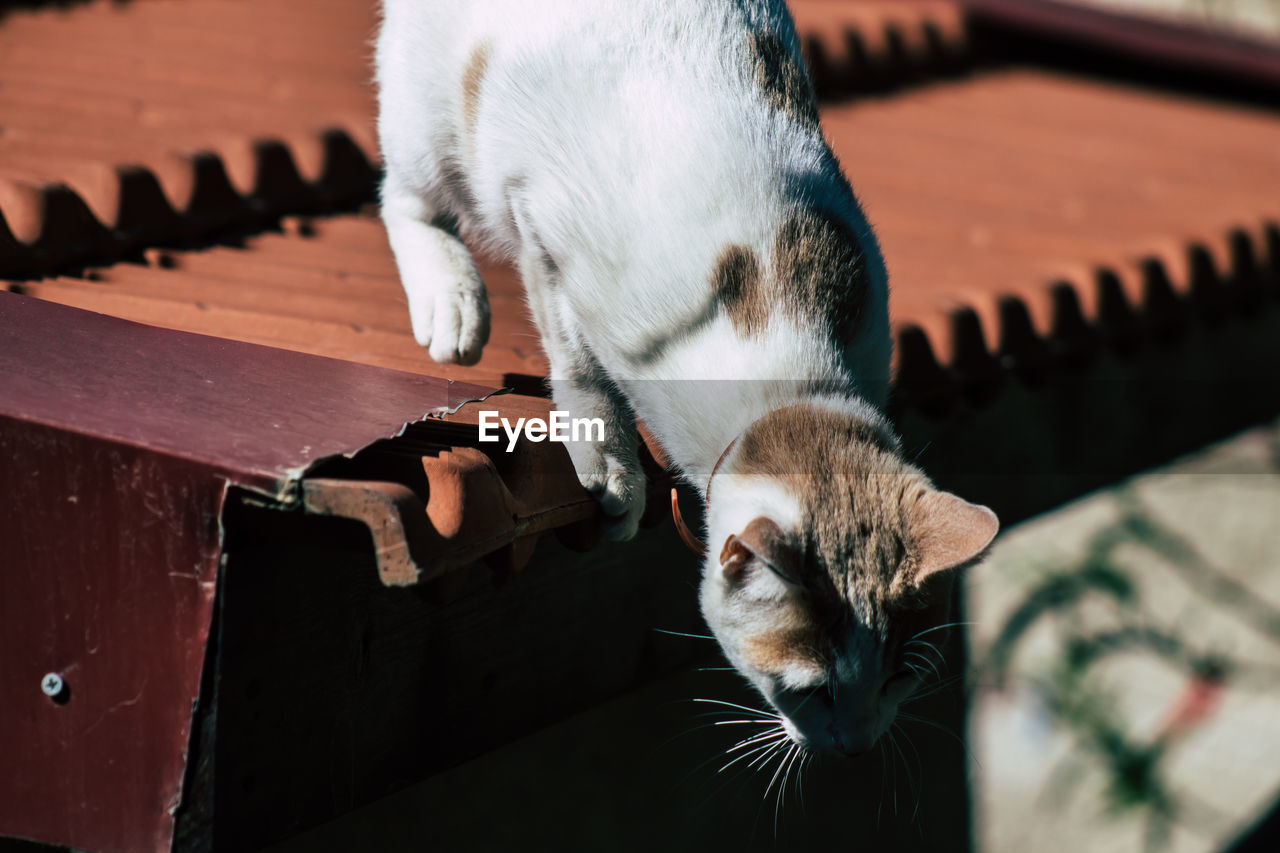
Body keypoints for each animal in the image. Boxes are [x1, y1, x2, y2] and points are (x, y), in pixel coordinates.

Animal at [373, 1, 993, 758]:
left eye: (901, 676)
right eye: (810, 687)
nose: (853, 746)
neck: (789, 379)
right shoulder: (540, 223)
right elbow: (576, 359)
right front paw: (611, 468)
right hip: (429, 115)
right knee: (404, 194)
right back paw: (453, 303)